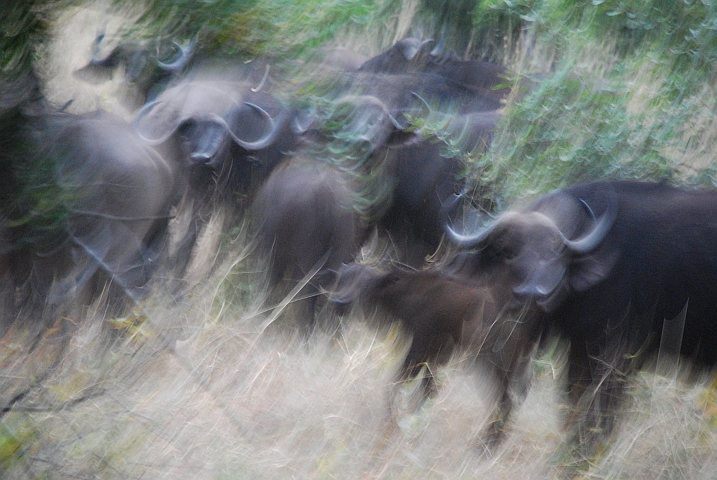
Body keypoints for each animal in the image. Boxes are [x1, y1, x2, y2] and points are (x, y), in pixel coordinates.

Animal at [330, 260, 536, 448]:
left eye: (366, 284)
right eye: (342, 280)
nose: (340, 303)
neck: (412, 292)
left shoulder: (420, 348)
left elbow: (398, 383)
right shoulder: (436, 356)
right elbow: (428, 390)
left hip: (493, 365)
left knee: (505, 400)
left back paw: (485, 446)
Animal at [448, 179, 717, 450]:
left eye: (556, 252)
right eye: (508, 251)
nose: (532, 294)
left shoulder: (618, 353)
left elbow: (601, 408)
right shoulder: (579, 346)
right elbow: (571, 400)